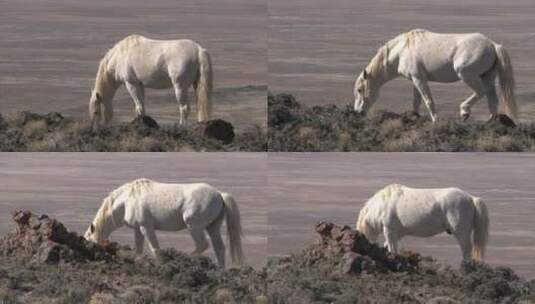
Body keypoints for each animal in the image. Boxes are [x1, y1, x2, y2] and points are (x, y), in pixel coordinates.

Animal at [84, 179, 245, 268]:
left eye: (89, 241)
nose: (90, 254)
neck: (126, 200)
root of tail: (219, 194)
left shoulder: (146, 227)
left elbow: (155, 248)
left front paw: (161, 263)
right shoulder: (137, 229)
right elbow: (138, 250)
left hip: (194, 226)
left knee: (202, 245)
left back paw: (185, 258)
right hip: (212, 227)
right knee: (219, 248)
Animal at [354, 28, 516, 123]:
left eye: (360, 90)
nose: (357, 112)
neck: (401, 51)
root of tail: (493, 45)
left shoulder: (419, 79)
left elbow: (428, 100)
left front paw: (435, 120)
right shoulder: (415, 79)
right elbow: (416, 101)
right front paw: (413, 116)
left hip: (466, 74)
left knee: (481, 92)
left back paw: (464, 112)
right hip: (486, 76)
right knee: (492, 98)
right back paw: (491, 122)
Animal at [356, 183, 490, 262]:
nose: (364, 253)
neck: (382, 204)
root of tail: (471, 198)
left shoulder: (389, 230)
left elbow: (392, 248)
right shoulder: (398, 234)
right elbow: (389, 247)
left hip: (460, 232)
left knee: (466, 249)